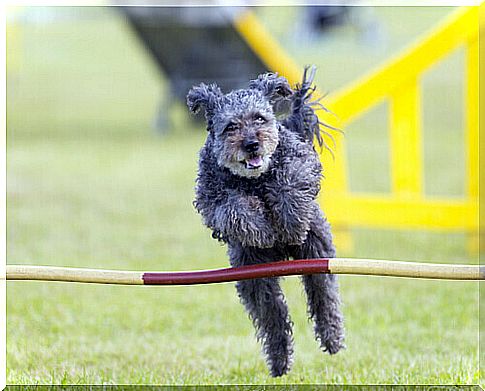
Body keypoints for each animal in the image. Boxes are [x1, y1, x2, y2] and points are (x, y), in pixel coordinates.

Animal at [185, 66, 344, 376]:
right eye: (230, 126)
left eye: (259, 118)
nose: (252, 144)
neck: (255, 180)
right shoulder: (211, 198)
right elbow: (234, 209)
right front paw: (261, 230)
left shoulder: (300, 162)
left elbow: (289, 183)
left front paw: (290, 223)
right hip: (255, 278)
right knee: (274, 316)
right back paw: (280, 361)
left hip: (317, 254)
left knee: (323, 294)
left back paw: (332, 338)